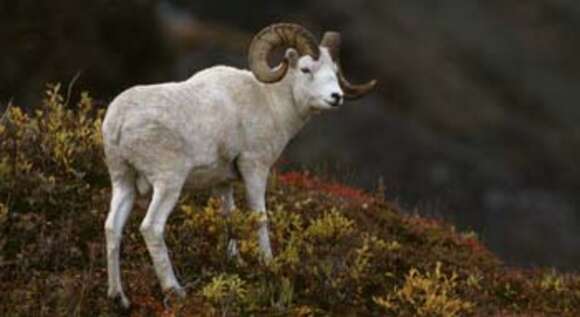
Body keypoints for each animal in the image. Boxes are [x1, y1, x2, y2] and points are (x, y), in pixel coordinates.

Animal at [101, 22, 376, 306]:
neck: (270, 102)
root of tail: (120, 121)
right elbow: (259, 217)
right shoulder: (255, 168)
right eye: (306, 69)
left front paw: (236, 262)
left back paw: (118, 296)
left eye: (335, 71)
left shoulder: (222, 183)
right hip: (168, 183)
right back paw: (175, 290)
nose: (336, 97)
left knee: (112, 227)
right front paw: (268, 264)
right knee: (152, 228)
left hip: (123, 182)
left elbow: (229, 219)